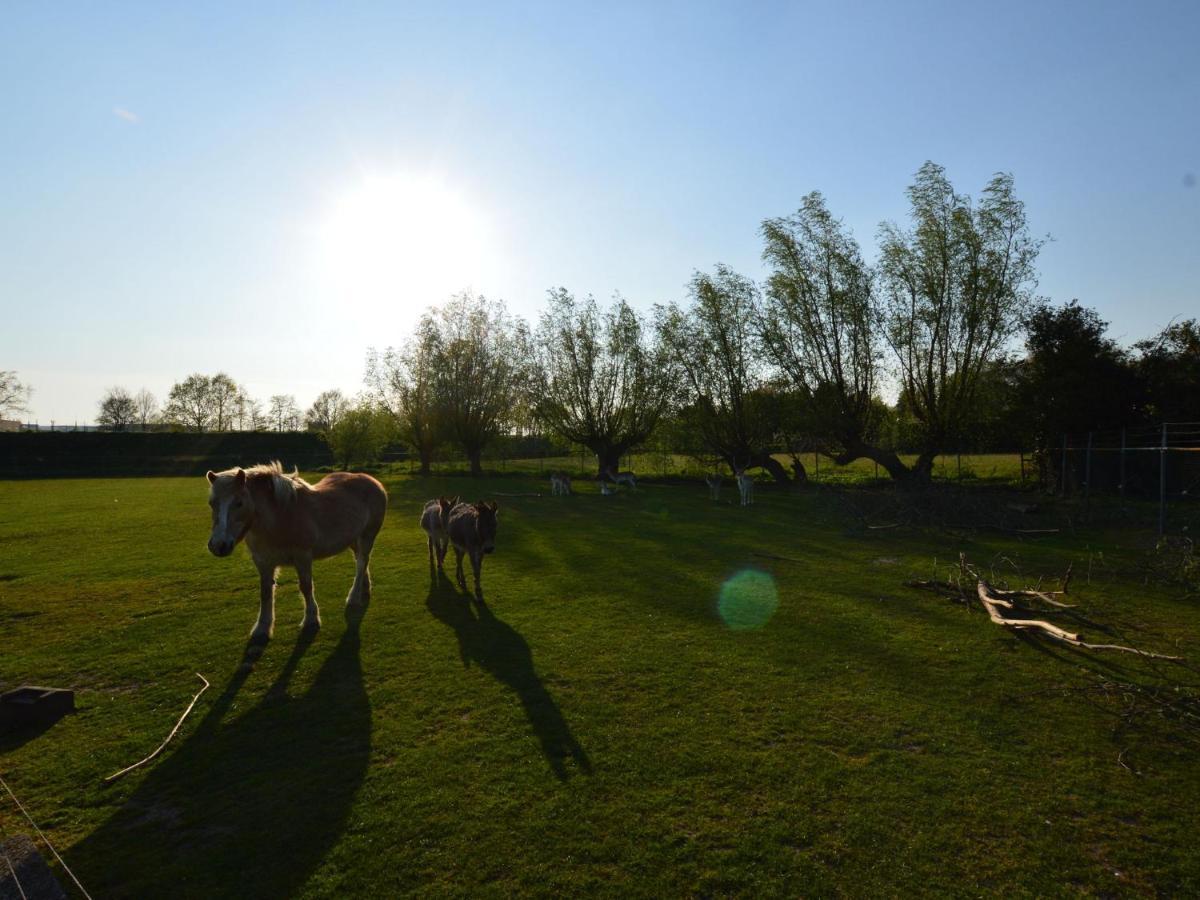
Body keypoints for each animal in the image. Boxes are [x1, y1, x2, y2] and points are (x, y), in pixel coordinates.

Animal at [206, 465, 388, 643]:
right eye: (211, 503)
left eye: (239, 503)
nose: (218, 545)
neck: (280, 518)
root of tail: (372, 480)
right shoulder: (263, 562)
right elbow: (265, 592)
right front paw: (262, 628)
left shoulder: (303, 557)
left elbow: (306, 587)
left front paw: (311, 619)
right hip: (353, 539)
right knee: (361, 562)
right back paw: (365, 589)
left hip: (367, 535)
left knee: (361, 562)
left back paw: (354, 597)